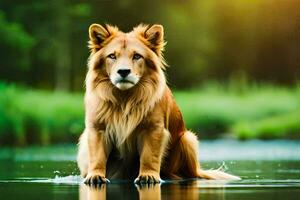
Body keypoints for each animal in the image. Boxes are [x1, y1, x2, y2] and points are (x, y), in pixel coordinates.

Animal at [77, 22, 239, 184]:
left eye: (137, 56)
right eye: (112, 56)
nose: (123, 71)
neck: (125, 98)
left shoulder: (153, 129)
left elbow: (149, 156)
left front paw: (148, 176)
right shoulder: (97, 129)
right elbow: (97, 157)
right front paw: (95, 176)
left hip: (189, 139)